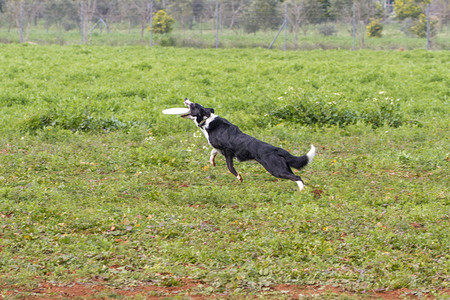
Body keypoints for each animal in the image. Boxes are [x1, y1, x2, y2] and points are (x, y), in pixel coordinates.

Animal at [180, 99, 316, 191]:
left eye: (193, 105)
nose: (186, 98)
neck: (207, 120)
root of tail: (276, 149)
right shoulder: (218, 149)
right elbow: (213, 152)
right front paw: (212, 162)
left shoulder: (228, 152)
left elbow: (230, 168)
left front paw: (239, 177)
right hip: (283, 168)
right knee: (296, 176)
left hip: (275, 169)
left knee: (297, 177)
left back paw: (301, 190)